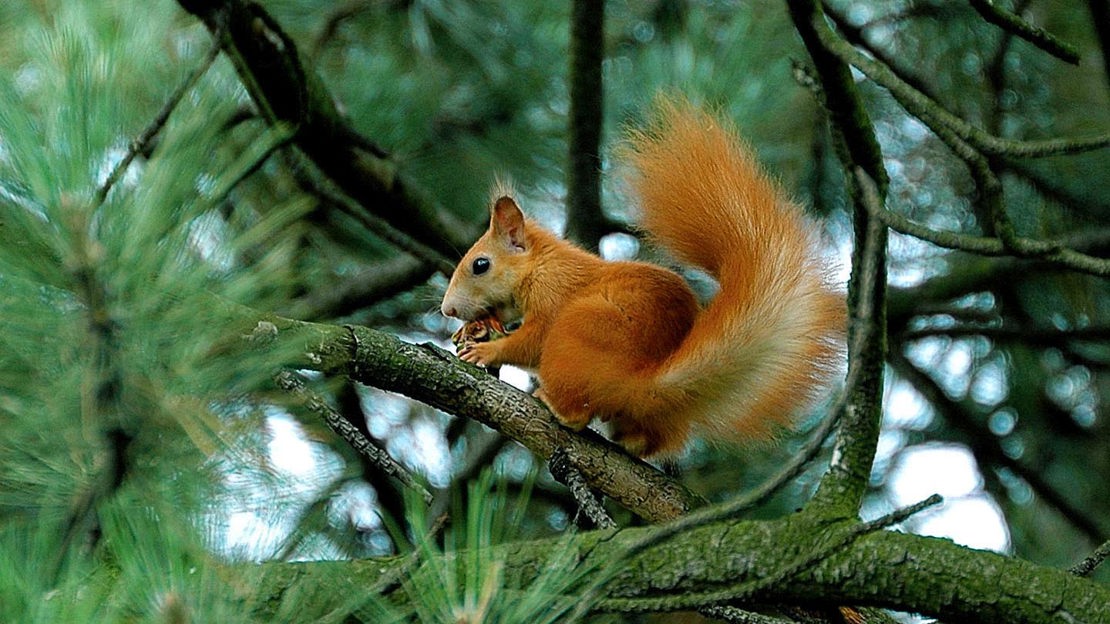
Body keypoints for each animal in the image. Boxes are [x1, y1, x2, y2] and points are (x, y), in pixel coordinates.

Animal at [440, 99, 844, 457]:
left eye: (480, 264)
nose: (447, 310)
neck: (542, 264)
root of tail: (640, 380)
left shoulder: (553, 294)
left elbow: (530, 342)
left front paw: (488, 349)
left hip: (575, 332)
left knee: (576, 408)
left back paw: (556, 405)